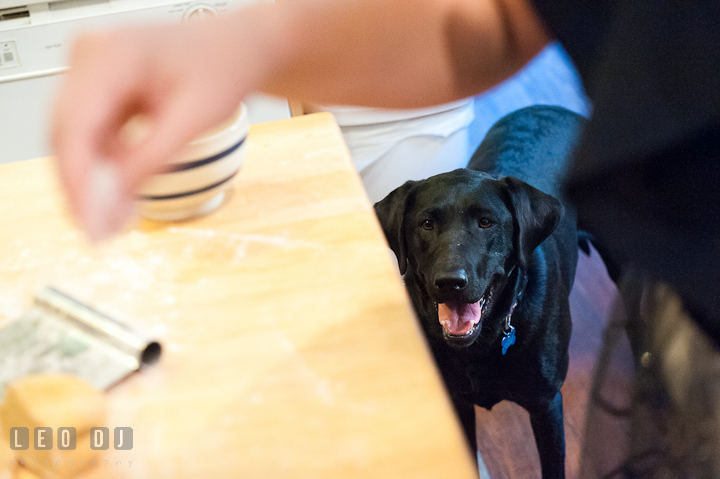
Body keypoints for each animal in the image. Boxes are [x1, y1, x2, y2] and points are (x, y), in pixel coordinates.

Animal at [374, 106, 588, 479]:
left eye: (486, 222)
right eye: (426, 224)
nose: (450, 282)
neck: (485, 341)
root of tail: (553, 108)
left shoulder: (546, 406)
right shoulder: (455, 403)